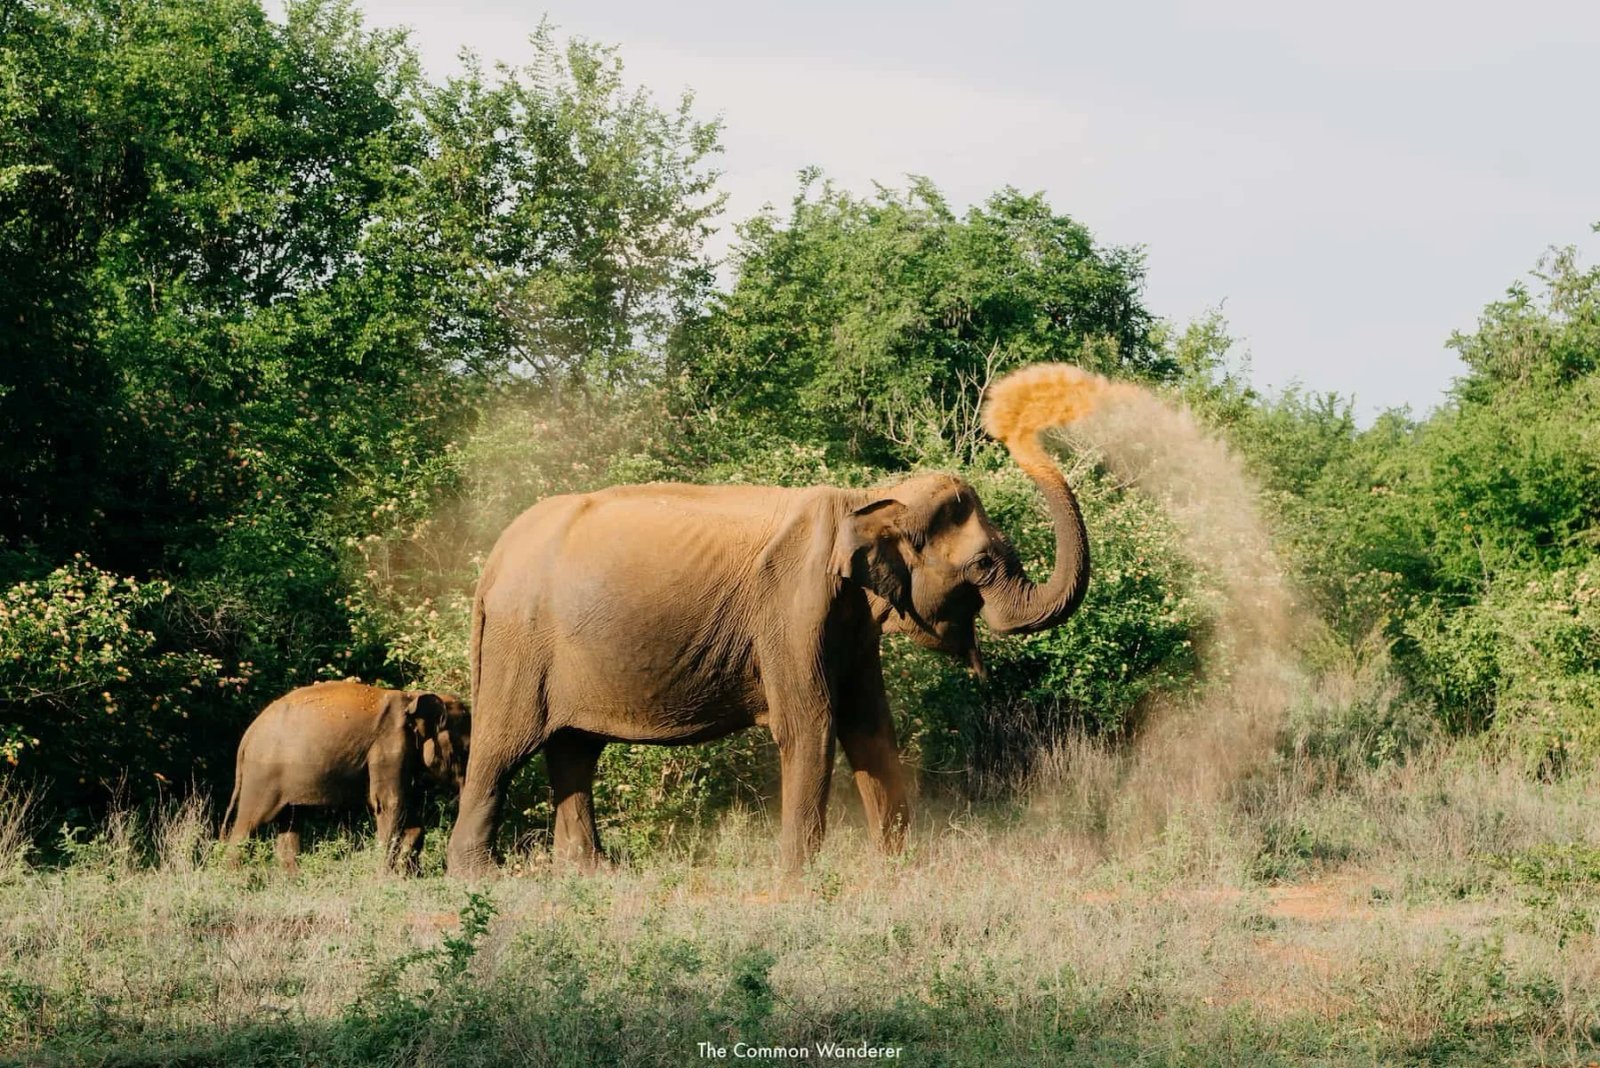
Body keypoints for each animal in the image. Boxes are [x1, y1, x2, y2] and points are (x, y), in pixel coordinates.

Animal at [220, 681, 471, 873]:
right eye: (466, 749)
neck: (412, 698)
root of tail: (246, 738)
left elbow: (408, 809)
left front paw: (408, 876)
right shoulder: (389, 746)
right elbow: (389, 803)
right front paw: (385, 878)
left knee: (291, 821)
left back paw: (292, 880)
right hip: (262, 775)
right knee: (249, 824)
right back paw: (237, 879)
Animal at [446, 424, 1088, 876]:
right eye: (984, 565)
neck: (869, 499)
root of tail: (492, 560)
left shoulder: (849, 622)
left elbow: (869, 726)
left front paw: (899, 873)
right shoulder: (791, 606)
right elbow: (810, 725)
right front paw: (797, 884)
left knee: (574, 748)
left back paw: (591, 874)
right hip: (519, 644)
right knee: (502, 747)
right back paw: (476, 878)